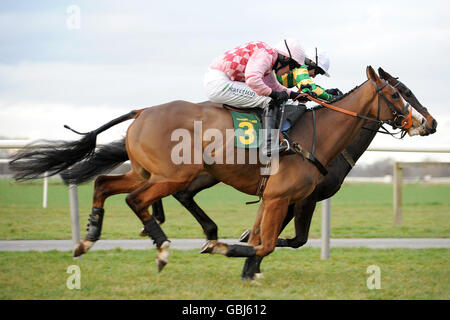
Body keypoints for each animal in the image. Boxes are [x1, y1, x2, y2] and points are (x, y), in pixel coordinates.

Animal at [9, 66, 432, 278]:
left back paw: (89, 238)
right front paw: (231, 251)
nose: (430, 122)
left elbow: (268, 238)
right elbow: (266, 242)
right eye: (399, 94)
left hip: (148, 171)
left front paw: (244, 263)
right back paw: (162, 247)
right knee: (135, 199)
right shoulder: (285, 198)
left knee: (104, 183)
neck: (317, 137)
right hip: (173, 174)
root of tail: (143, 110)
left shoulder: (277, 198)